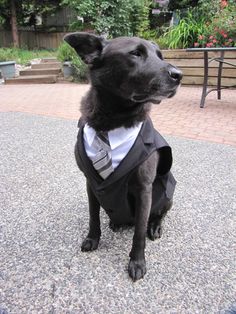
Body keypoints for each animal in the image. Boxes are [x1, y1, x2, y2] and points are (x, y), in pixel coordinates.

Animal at [63, 32, 182, 282]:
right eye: (135, 53)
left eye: (160, 55)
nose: (179, 75)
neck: (111, 121)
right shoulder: (91, 184)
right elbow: (93, 216)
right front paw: (92, 239)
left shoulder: (144, 189)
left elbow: (138, 232)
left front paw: (137, 262)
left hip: (168, 196)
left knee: (157, 216)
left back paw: (155, 226)